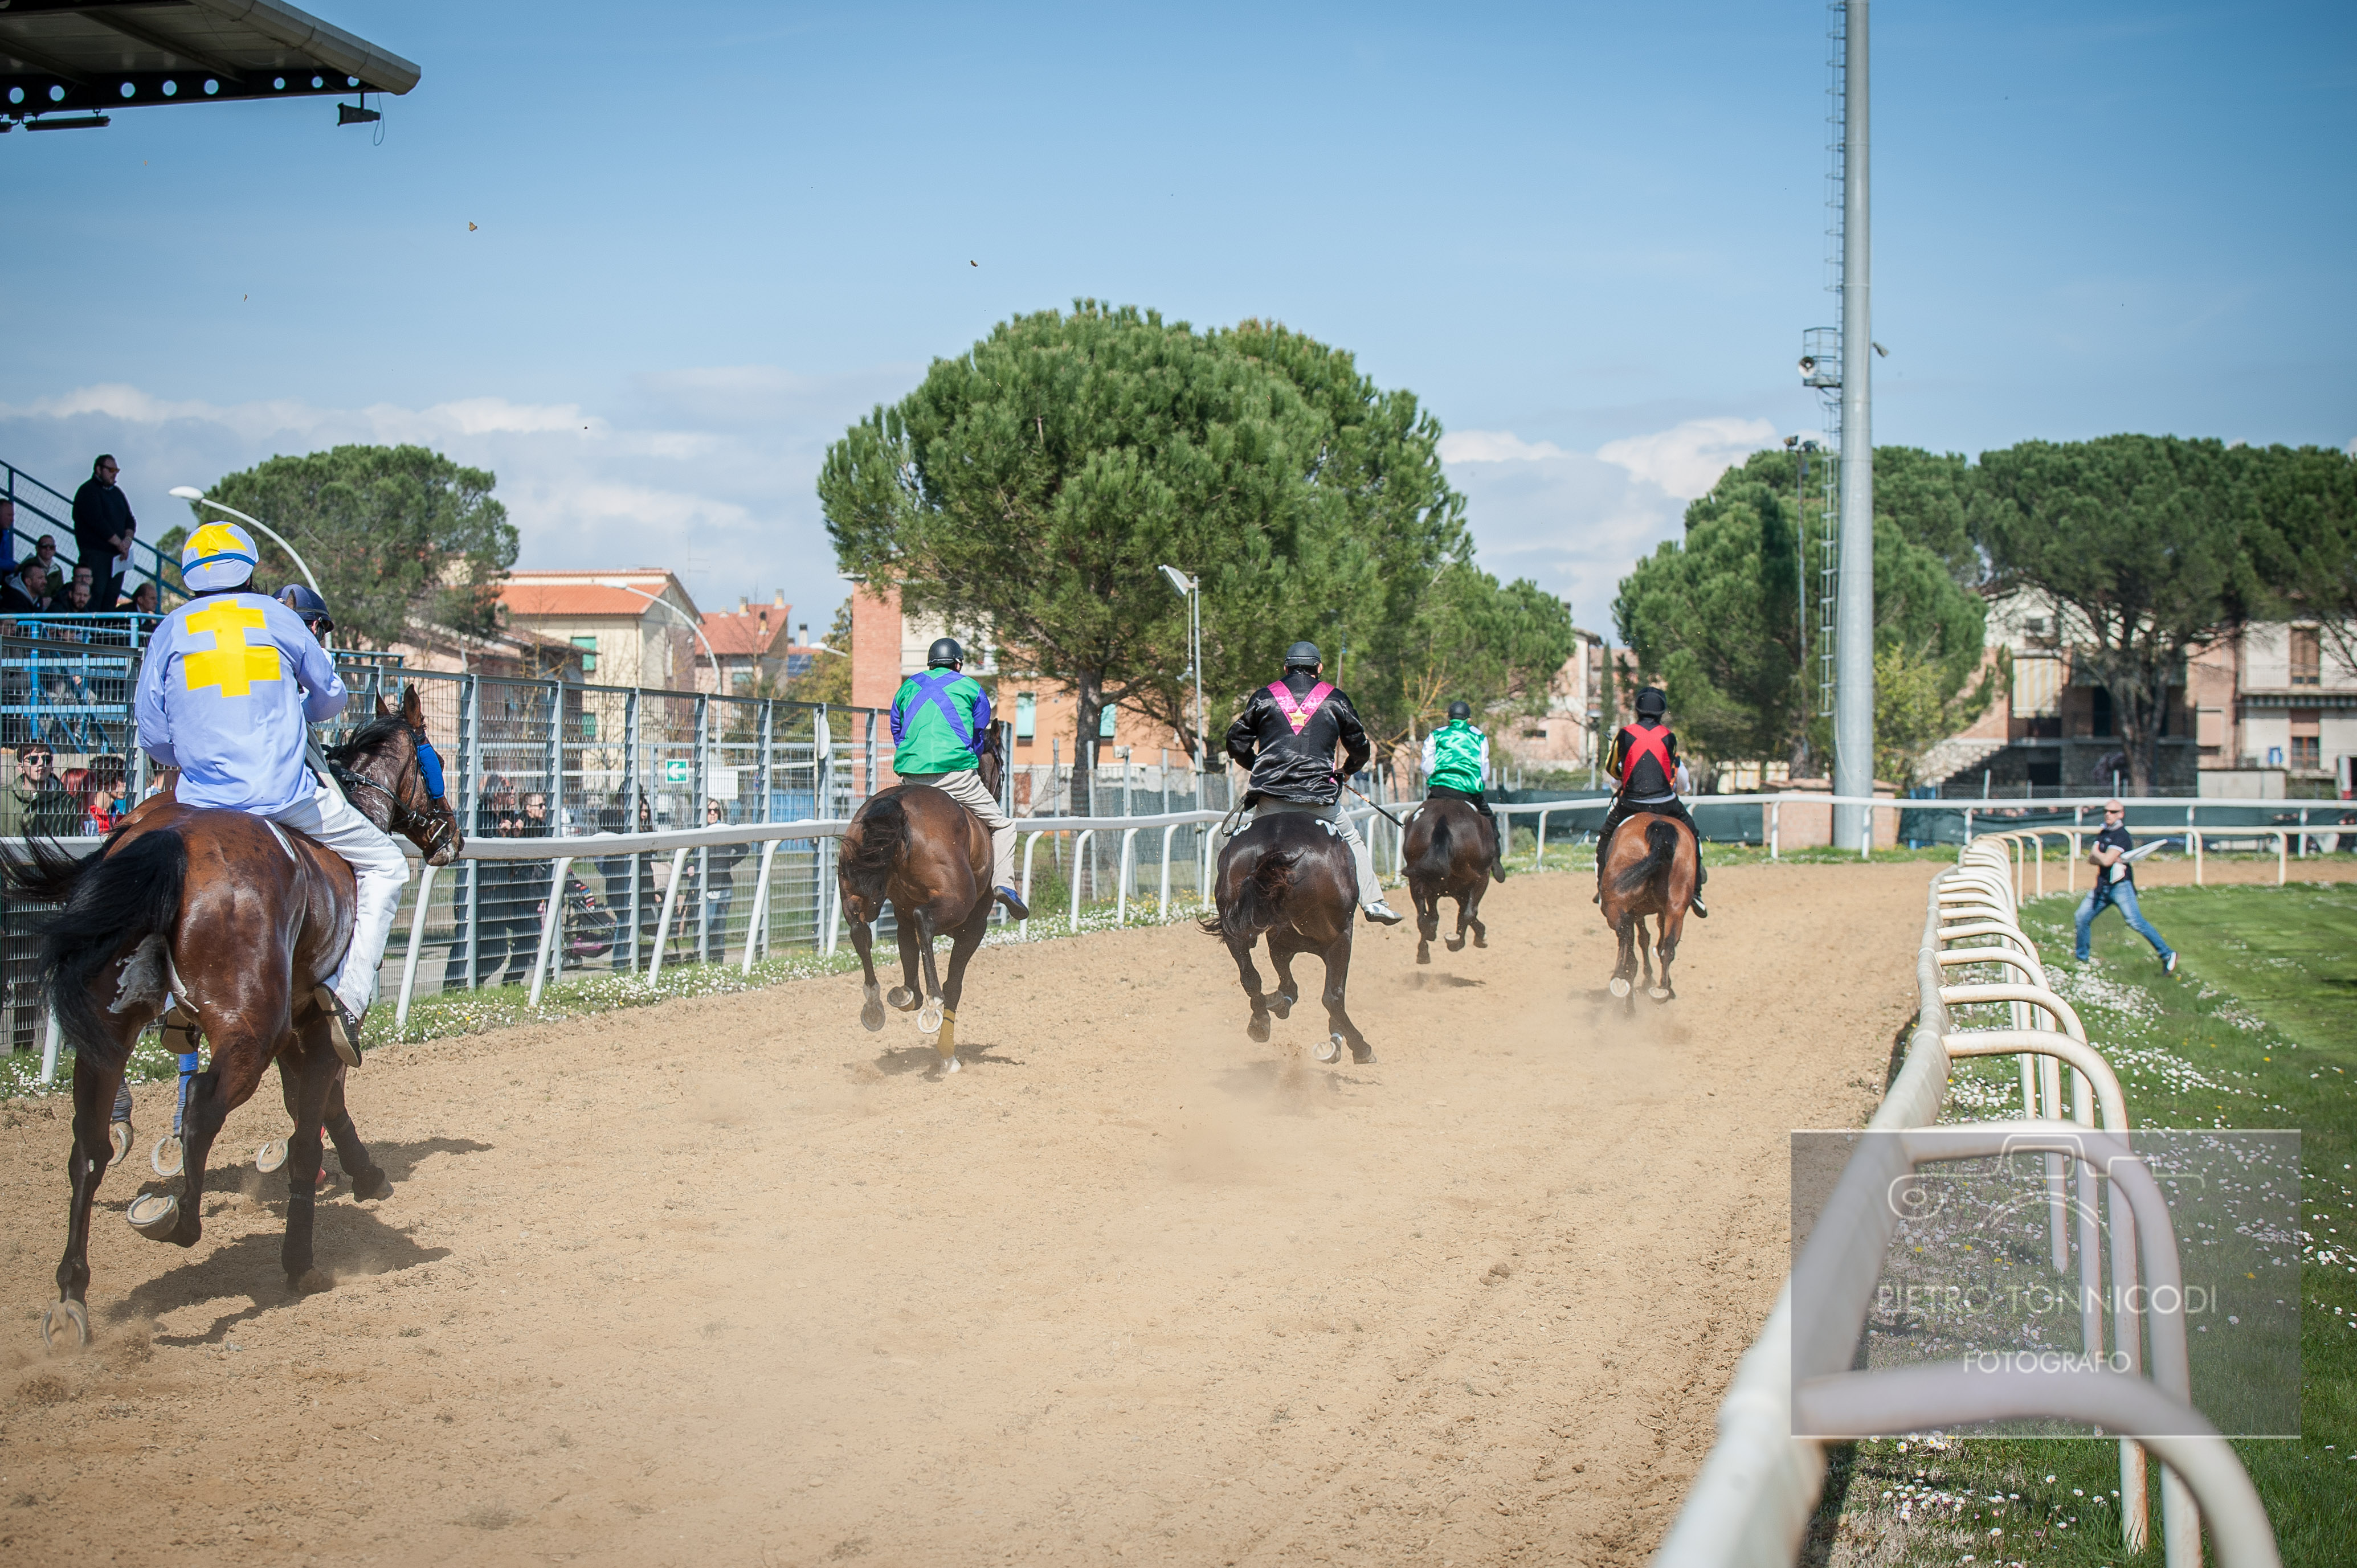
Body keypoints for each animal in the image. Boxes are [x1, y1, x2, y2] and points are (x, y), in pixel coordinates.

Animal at [7, 683, 461, 1348]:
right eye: (438, 761)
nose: (451, 834)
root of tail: (169, 840)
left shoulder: (298, 1025)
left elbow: (318, 1107)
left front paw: (365, 1172)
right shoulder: (311, 1027)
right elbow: (308, 1126)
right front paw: (303, 1257)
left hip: (108, 1029)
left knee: (89, 1148)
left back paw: (72, 1296)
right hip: (248, 1032)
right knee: (200, 1108)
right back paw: (177, 1219)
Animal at [839, 731, 1004, 1070]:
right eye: (1003, 768)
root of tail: (896, 803)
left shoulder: (901, 916)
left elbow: (909, 960)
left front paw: (904, 996)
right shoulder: (973, 928)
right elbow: (955, 986)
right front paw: (947, 1054)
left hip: (854, 888)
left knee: (860, 929)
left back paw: (874, 1004)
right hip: (955, 904)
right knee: (923, 921)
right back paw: (932, 1004)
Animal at [1207, 806, 1376, 1066]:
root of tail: (1276, 847)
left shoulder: (1280, 943)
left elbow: (1286, 983)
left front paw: (1276, 1004)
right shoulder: (1338, 939)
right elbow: (1332, 993)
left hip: (1233, 929)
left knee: (1250, 978)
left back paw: (1260, 1023)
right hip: (1338, 935)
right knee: (1332, 997)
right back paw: (1361, 1047)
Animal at [1395, 801, 1489, 962]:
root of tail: (1442, 820)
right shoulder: (1473, 883)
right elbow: (1468, 913)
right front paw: (1477, 937)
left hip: (1418, 881)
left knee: (1423, 917)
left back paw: (1424, 951)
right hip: (1478, 877)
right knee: (1467, 912)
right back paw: (1455, 942)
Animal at [1593, 806, 1706, 1014]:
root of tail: (1659, 828)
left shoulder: (1634, 912)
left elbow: (1641, 941)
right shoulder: (1657, 911)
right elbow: (1654, 941)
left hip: (1615, 907)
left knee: (1626, 940)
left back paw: (1621, 981)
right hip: (1676, 906)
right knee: (1668, 946)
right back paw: (1662, 991)